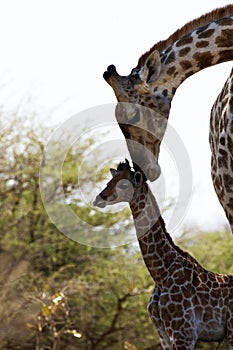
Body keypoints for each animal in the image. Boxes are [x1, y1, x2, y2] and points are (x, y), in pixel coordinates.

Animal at [93, 159, 233, 350]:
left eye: (123, 184)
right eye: (109, 181)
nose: (98, 198)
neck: (161, 274)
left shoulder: (184, 333)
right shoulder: (163, 333)